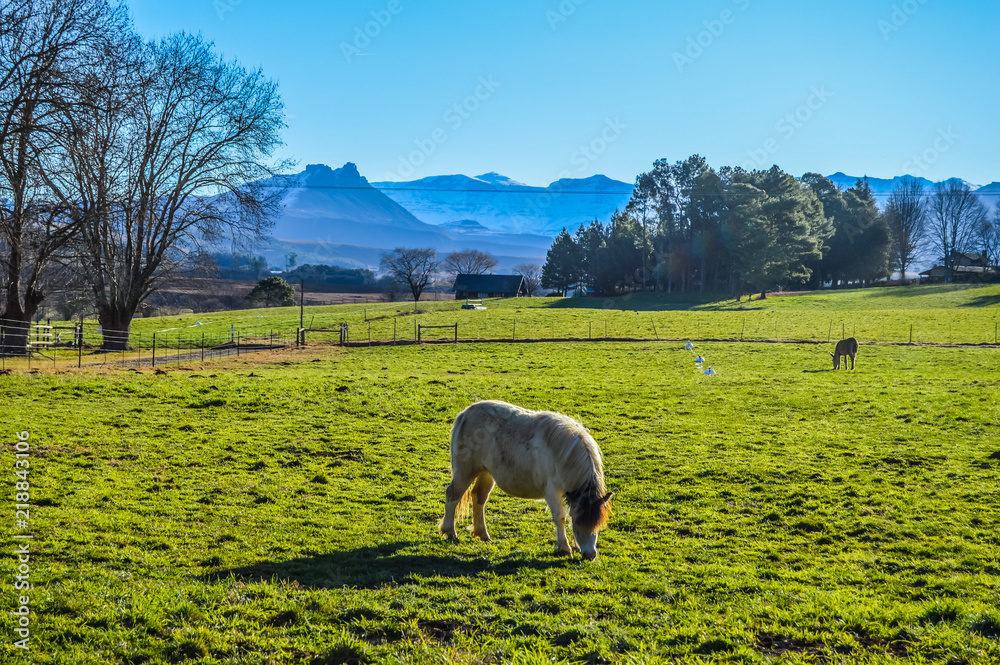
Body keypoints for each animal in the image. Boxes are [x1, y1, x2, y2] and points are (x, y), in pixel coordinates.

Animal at [439, 400, 612, 561]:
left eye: (598, 524)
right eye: (578, 521)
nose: (590, 555)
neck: (565, 456)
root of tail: (465, 414)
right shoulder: (552, 491)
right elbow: (560, 517)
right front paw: (564, 548)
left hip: (485, 473)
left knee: (479, 498)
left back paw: (483, 534)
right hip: (465, 471)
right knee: (453, 495)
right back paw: (450, 532)